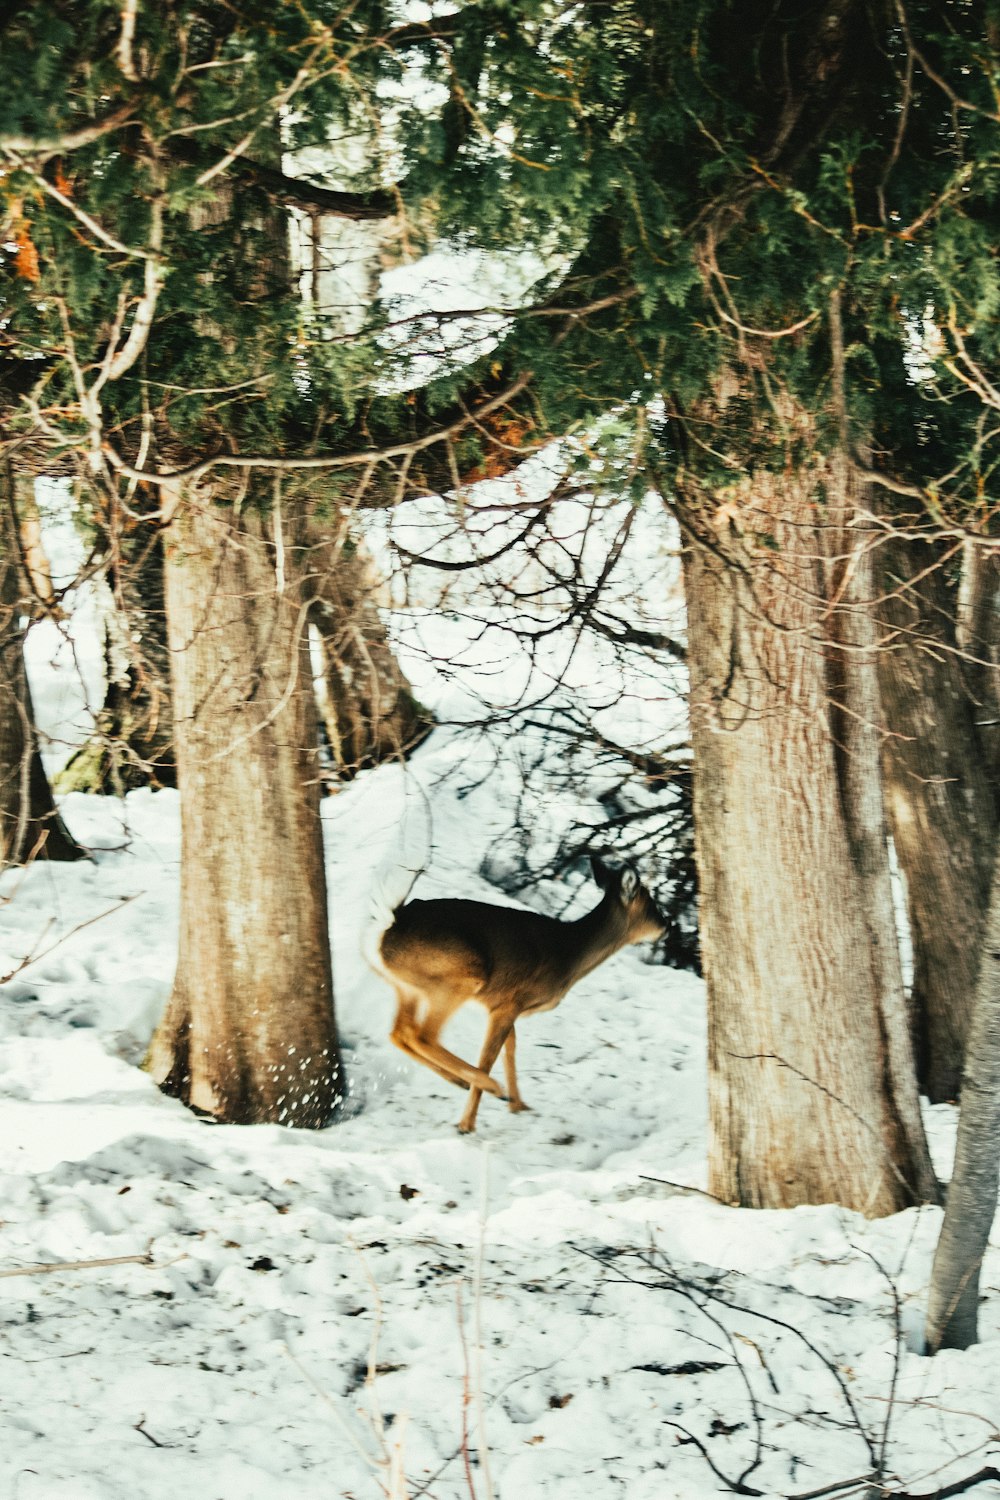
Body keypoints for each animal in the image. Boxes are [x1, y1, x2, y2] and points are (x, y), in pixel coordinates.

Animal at [373, 864, 665, 1128]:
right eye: (651, 903)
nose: (667, 926)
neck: (570, 957)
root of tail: (390, 924)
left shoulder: (507, 1006)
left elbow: (510, 1048)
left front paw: (519, 1105)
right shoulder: (508, 1003)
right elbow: (489, 1056)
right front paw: (468, 1123)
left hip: (407, 987)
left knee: (399, 1033)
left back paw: (463, 1081)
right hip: (460, 977)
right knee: (423, 1035)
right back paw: (489, 1087)